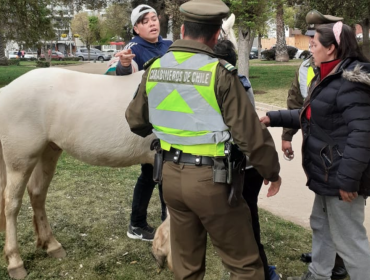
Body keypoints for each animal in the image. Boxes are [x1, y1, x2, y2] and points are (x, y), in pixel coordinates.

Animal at [0, 68, 155, 280]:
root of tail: (6, 90)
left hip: (49, 151)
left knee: (37, 194)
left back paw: (52, 245)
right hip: (20, 161)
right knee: (12, 204)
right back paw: (15, 262)